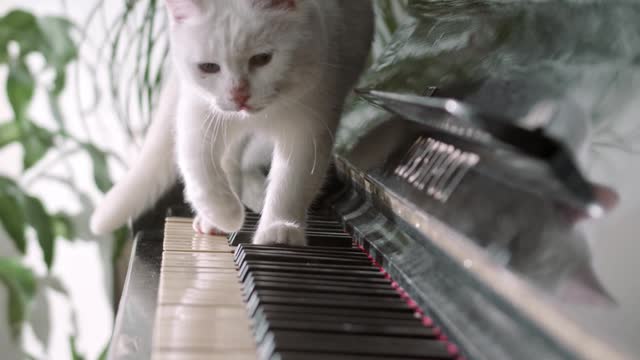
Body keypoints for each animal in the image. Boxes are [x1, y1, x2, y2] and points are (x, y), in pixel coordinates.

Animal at [87, 0, 372, 246]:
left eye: (262, 59)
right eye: (209, 67)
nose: (239, 95)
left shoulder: (309, 128)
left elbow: (292, 183)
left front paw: (278, 230)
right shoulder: (198, 115)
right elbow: (201, 173)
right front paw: (227, 216)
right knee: (229, 162)